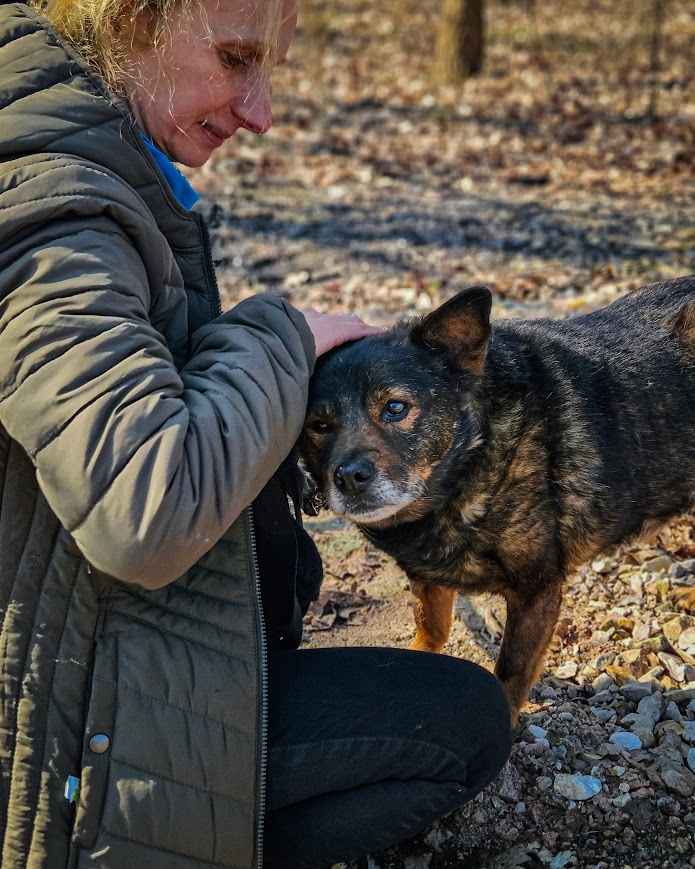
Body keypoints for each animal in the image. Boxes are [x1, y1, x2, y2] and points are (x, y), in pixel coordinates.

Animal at [302, 276, 695, 720]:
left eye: (395, 408)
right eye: (318, 425)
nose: (349, 478)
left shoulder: (536, 591)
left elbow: (509, 674)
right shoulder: (429, 578)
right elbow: (431, 628)